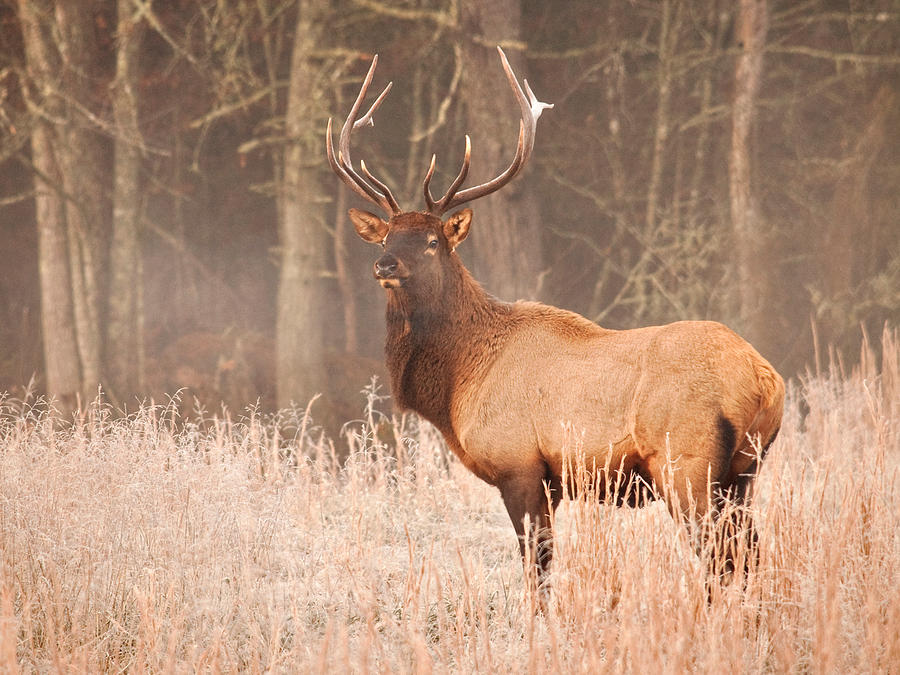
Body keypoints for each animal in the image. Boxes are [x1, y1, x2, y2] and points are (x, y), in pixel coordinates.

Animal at [324, 47, 780, 596]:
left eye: (433, 241)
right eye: (388, 235)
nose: (385, 265)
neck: (459, 382)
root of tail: (765, 381)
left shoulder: (519, 463)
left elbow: (537, 569)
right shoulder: (552, 480)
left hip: (687, 464)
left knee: (721, 560)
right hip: (743, 473)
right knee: (752, 556)